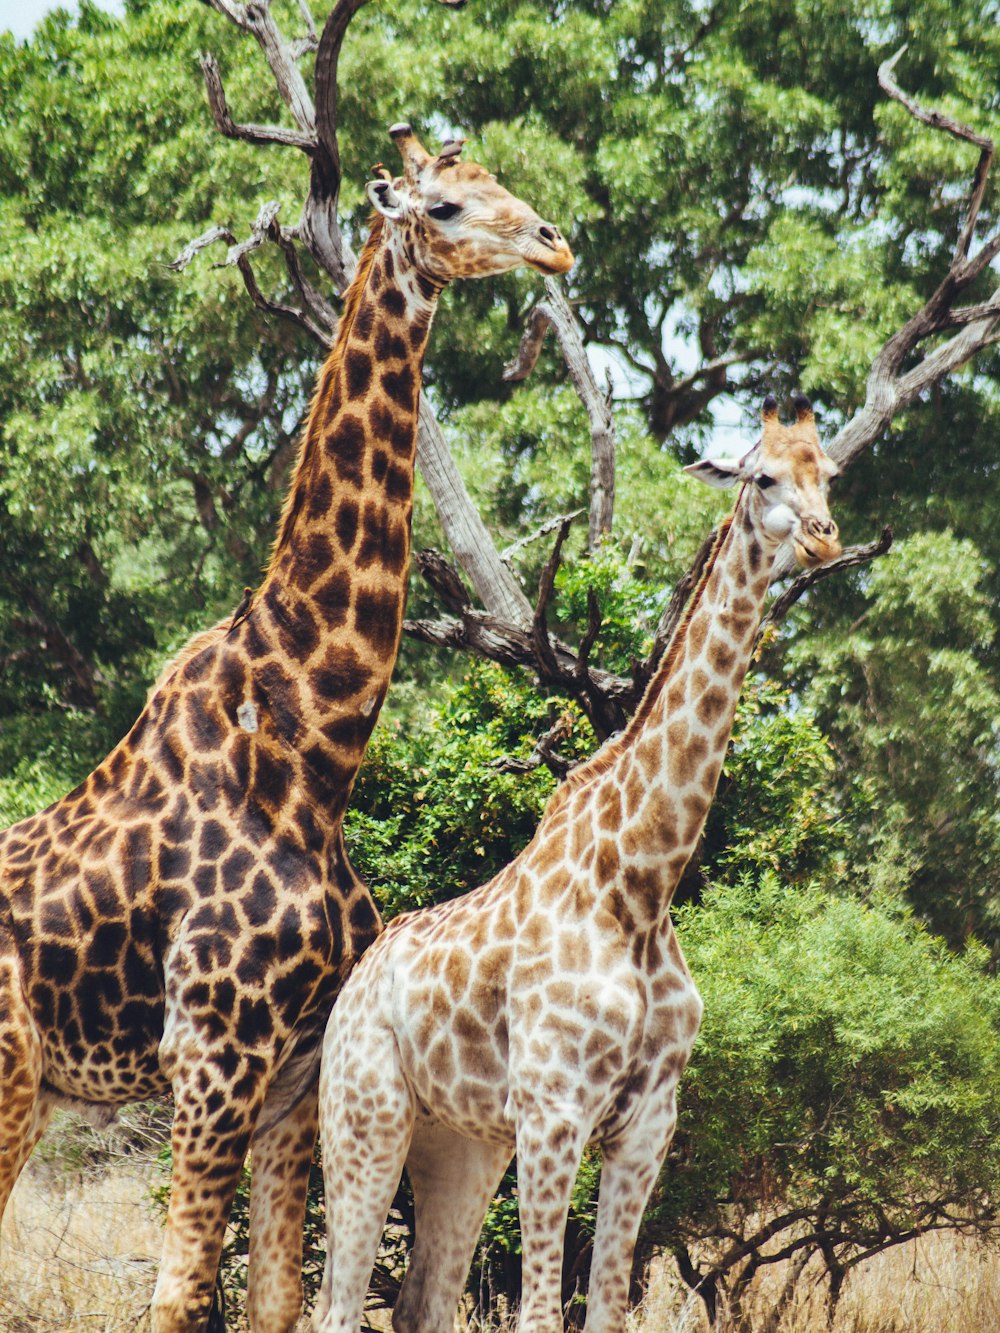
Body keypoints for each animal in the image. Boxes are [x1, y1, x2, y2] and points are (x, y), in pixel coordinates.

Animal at [0, 125, 570, 1333]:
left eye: (498, 183)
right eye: (445, 206)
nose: (555, 244)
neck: (314, 748)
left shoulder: (295, 1074)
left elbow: (274, 1300)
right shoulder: (214, 1051)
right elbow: (179, 1297)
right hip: (14, 1074)